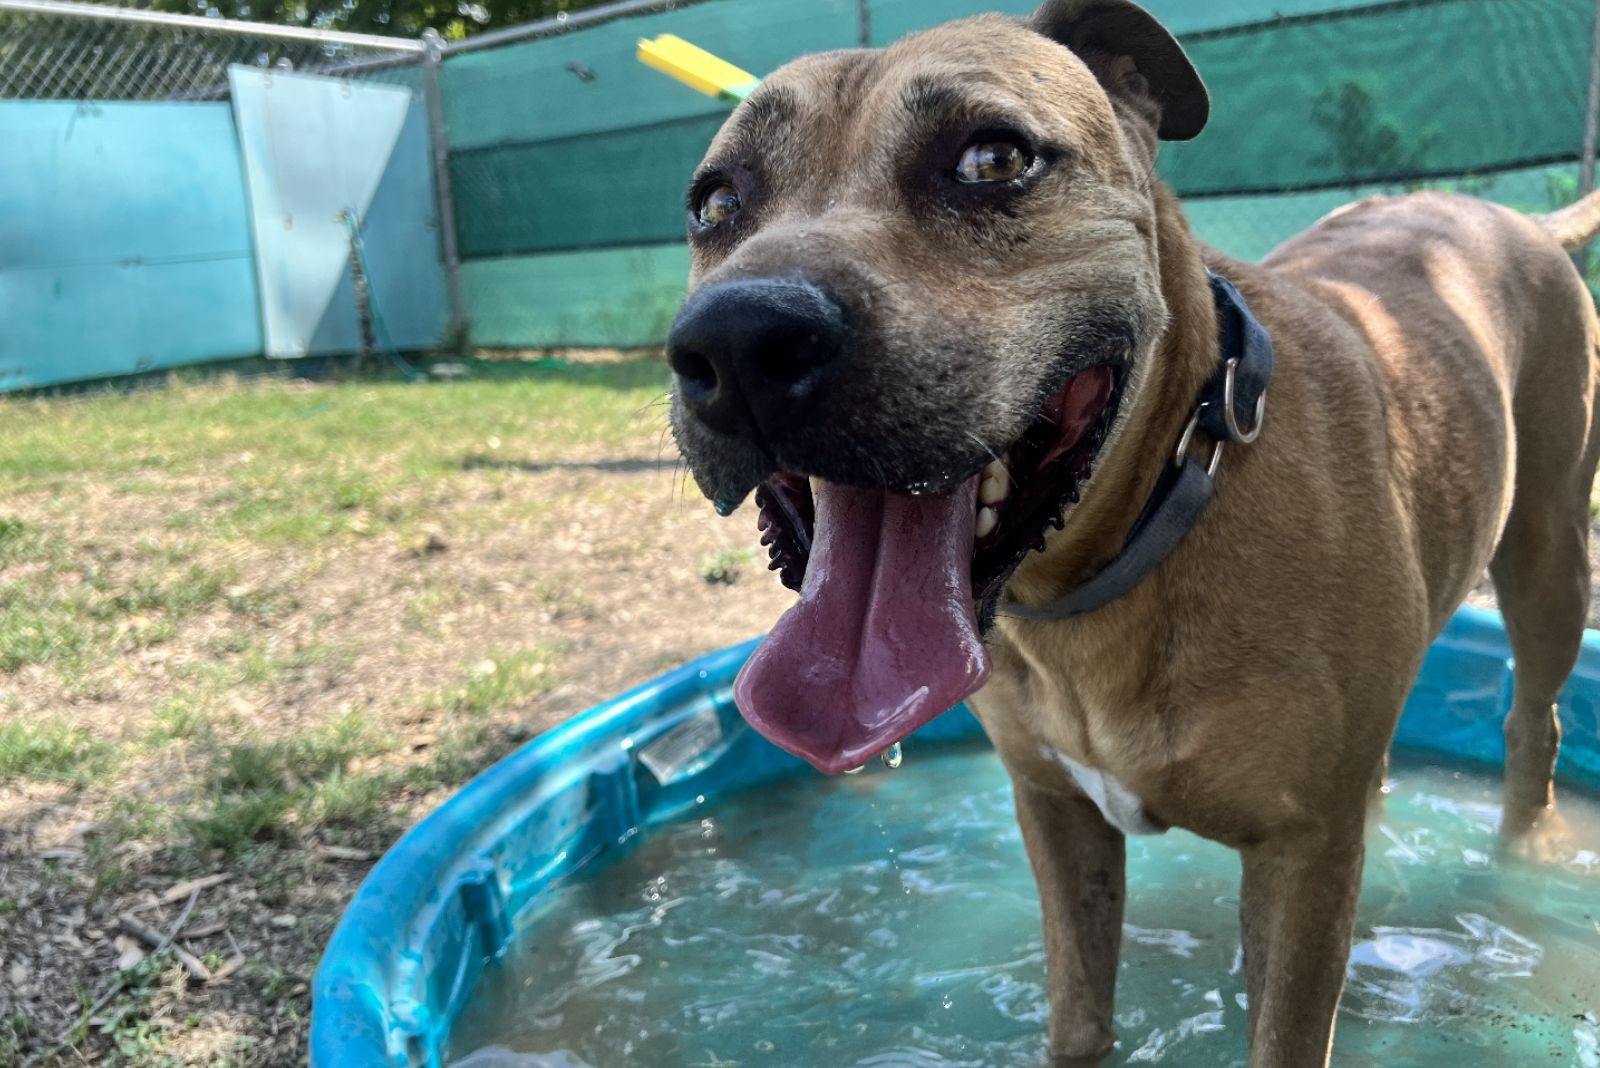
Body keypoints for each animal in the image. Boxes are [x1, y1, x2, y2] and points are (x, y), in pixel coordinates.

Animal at [659, 4, 1600, 1061]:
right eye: (715, 202)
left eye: (992, 157)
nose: (739, 340)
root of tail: (1511, 218)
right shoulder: (1058, 813)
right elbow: (1079, 1007)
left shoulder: (1303, 860)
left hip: (1550, 558)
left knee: (1534, 720)